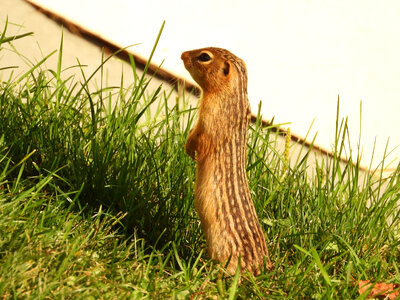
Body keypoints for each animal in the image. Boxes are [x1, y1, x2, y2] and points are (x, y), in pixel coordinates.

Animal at [182, 46, 270, 274]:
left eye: (204, 56)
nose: (182, 54)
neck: (234, 95)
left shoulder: (210, 118)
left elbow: (200, 140)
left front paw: (190, 151)